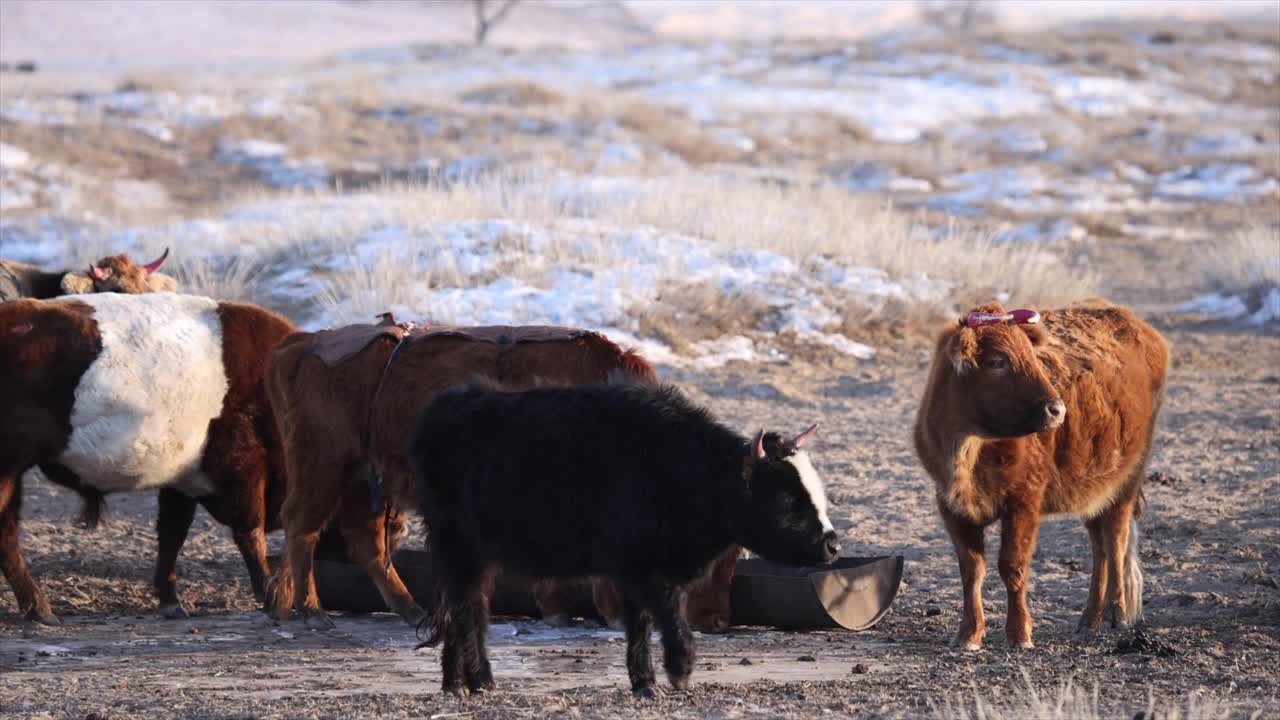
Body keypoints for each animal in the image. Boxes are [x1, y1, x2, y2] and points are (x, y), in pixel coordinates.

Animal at [0, 288, 293, 620]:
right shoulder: (243, 465)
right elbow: (249, 530)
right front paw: (271, 593)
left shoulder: (183, 479)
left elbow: (172, 534)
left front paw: (170, 599)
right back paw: (38, 606)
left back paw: (36, 607)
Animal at [264, 319, 737, 627]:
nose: (715, 619)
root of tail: (302, 343)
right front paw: (589, 610)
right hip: (323, 465)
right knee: (302, 526)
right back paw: (311, 612)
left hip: (364, 476)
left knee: (364, 542)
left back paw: (403, 609)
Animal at [409, 381, 839, 696]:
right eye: (787, 498)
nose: (832, 544)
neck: (681, 469)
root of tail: (444, 406)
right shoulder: (639, 568)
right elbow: (666, 613)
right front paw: (679, 671)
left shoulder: (642, 570)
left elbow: (641, 622)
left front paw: (645, 682)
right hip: (461, 548)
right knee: (468, 609)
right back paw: (479, 681)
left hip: (472, 556)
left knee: (464, 607)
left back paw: (456, 683)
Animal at [911, 299, 1172, 648]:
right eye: (997, 361)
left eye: (1032, 358)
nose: (1057, 410)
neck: (968, 448)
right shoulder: (951, 505)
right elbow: (971, 570)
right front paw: (969, 634)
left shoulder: (1024, 499)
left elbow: (1013, 566)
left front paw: (1020, 633)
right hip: (1092, 487)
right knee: (1099, 546)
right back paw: (1090, 618)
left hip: (1127, 478)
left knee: (1115, 538)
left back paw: (1117, 613)